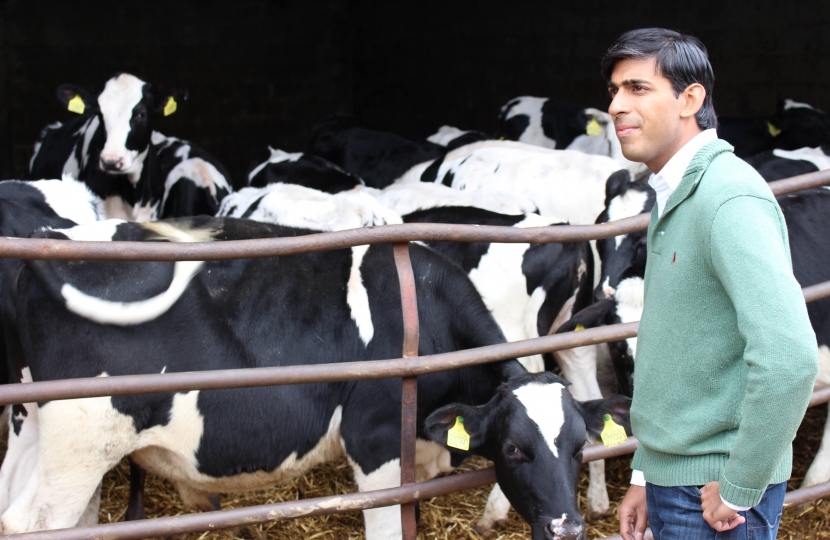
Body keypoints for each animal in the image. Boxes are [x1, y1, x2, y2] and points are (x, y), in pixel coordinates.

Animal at [0, 216, 632, 540]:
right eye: (514, 448)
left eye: (580, 446)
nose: (568, 528)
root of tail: (52, 242)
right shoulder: (377, 445)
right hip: (81, 439)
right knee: (33, 521)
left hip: (40, 427)